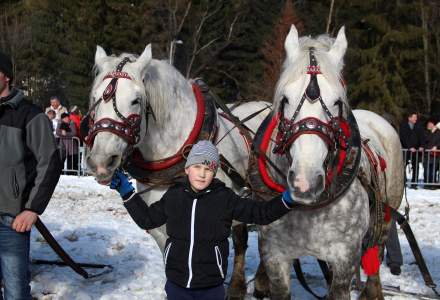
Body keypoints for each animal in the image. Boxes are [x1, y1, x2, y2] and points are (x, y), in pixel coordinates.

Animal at [249, 25, 404, 300]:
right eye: (285, 99)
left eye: (337, 102)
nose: (305, 183)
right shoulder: (274, 255)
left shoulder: (344, 258)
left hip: (385, 217)